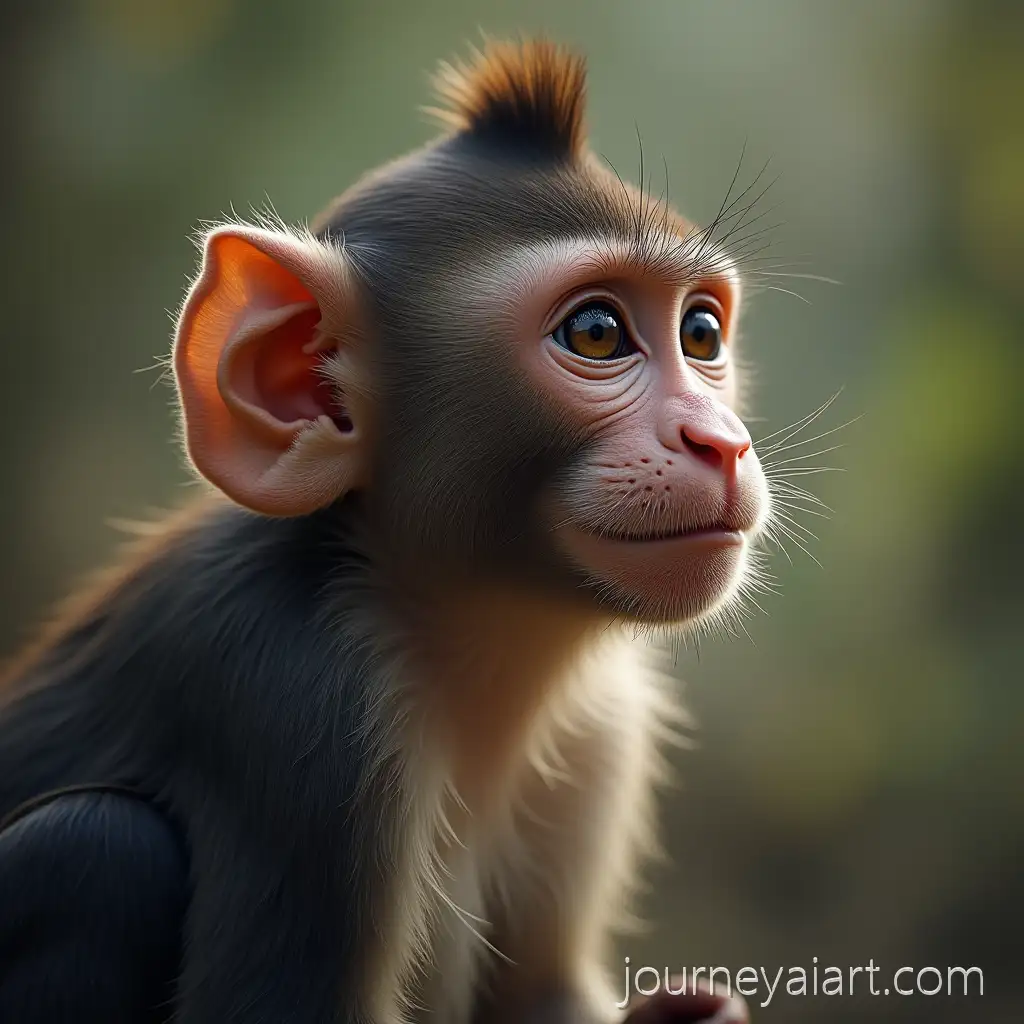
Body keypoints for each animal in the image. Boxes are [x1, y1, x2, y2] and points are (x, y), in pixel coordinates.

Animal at [0, 38, 767, 1024]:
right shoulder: (303, 713)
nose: (721, 441)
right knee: (97, 851)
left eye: (701, 332)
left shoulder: (605, 725)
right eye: (597, 333)